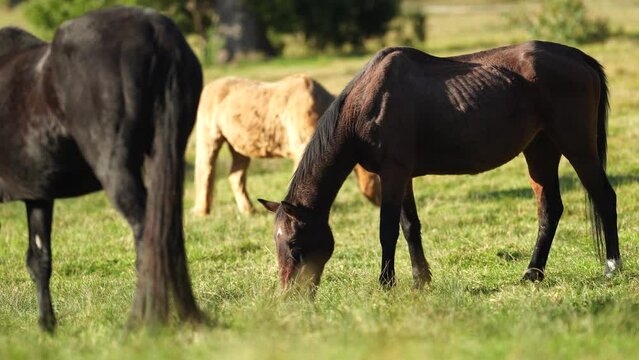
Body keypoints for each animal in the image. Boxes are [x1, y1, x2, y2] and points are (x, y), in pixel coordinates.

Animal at [0, 7, 204, 330]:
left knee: (147, 235)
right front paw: (48, 326)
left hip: (116, 170)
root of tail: (155, 28)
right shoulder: (39, 196)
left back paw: (141, 320)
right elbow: (39, 259)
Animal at [191, 74, 380, 214]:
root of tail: (209, 87)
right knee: (205, 171)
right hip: (209, 136)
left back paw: (249, 211)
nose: (380, 203)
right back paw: (202, 212)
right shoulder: (302, 148)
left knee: (235, 176)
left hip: (239, 146)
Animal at [258, 40, 620, 292]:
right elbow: (409, 227)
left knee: (604, 197)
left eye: (294, 244)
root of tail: (580, 58)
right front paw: (421, 280)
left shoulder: (393, 173)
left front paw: (386, 284)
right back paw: (532, 273)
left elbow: (387, 230)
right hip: (540, 150)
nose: (290, 295)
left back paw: (612, 267)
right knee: (550, 210)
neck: (367, 102)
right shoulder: (401, 176)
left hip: (577, 146)